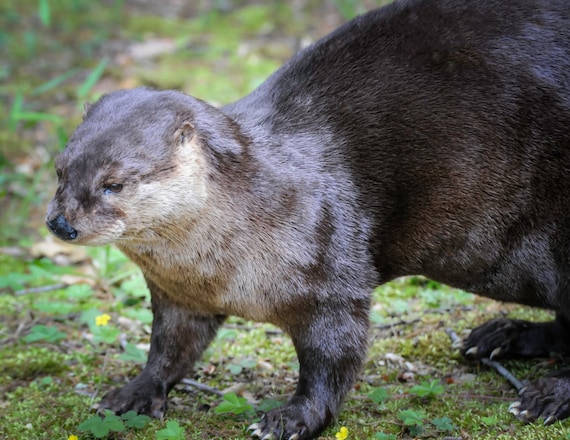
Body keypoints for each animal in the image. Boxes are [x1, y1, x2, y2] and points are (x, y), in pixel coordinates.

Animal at [46, 0, 568, 438]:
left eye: (113, 183)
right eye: (59, 169)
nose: (61, 224)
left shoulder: (332, 277)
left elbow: (333, 358)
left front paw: (291, 418)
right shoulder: (179, 293)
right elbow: (170, 347)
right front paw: (134, 393)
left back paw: (546, 394)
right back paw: (501, 336)